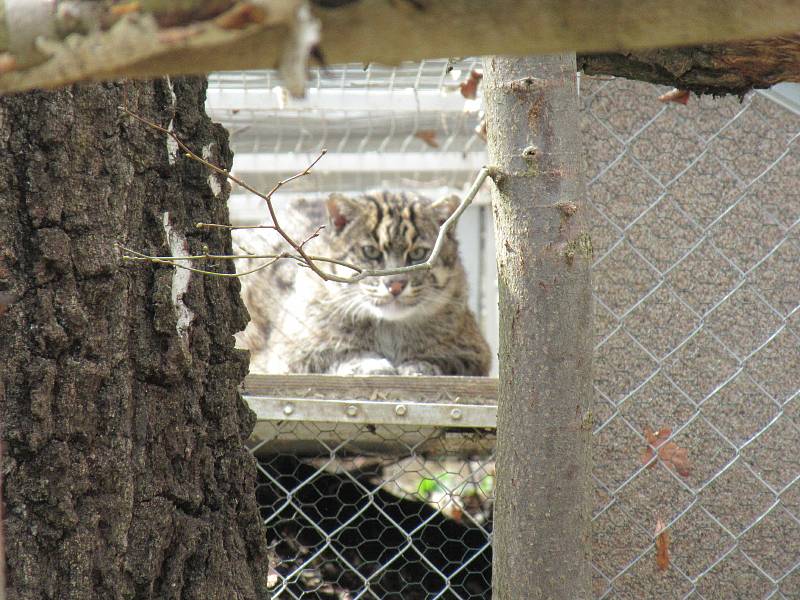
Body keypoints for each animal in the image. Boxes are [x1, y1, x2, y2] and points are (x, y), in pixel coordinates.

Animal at [233, 192, 488, 376]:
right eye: (370, 251)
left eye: (418, 253)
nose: (395, 285)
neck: (388, 328)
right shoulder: (289, 353)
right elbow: (334, 356)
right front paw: (370, 365)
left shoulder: (475, 352)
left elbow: (447, 361)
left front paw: (418, 366)